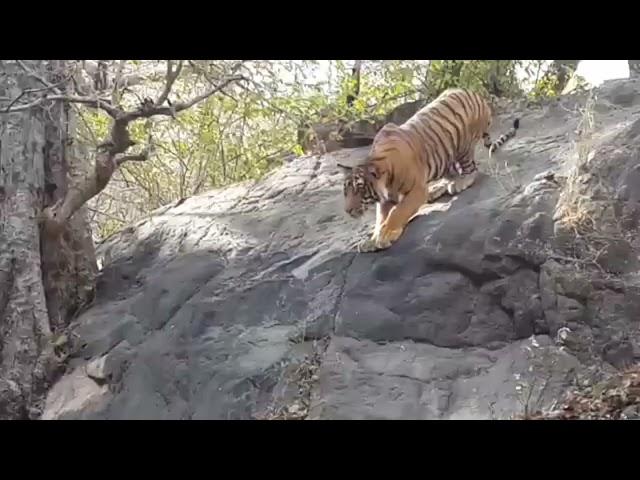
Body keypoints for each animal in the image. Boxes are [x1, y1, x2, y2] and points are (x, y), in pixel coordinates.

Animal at [340, 86, 520, 253]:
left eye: (359, 189)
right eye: (346, 192)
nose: (347, 211)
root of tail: (477, 95)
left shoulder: (416, 190)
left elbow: (398, 212)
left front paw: (384, 236)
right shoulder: (385, 200)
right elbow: (380, 220)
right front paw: (373, 239)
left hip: (463, 146)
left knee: (472, 170)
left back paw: (459, 183)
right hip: (444, 158)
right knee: (451, 174)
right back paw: (435, 190)